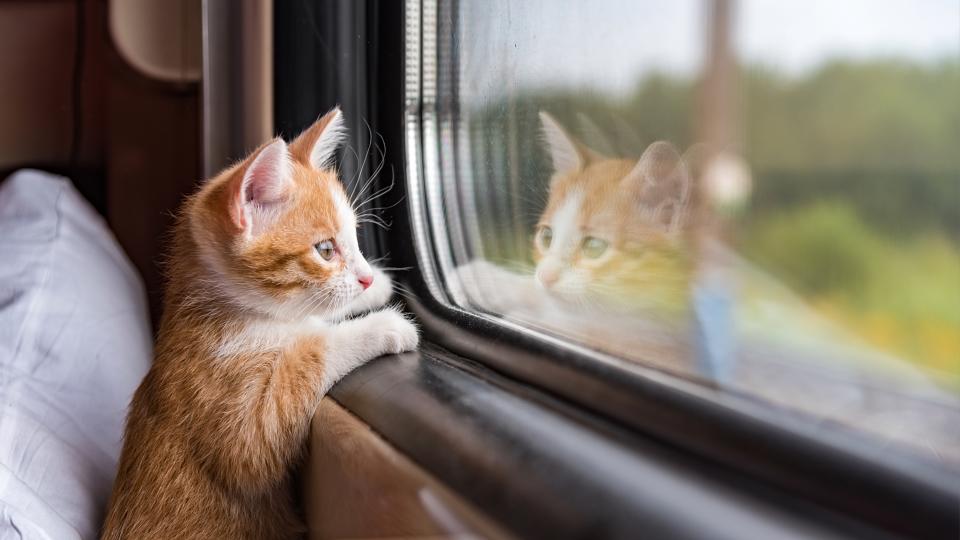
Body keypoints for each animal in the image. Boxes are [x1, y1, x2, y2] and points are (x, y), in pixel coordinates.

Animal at [101, 109, 416, 540]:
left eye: (355, 239)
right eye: (326, 249)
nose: (366, 277)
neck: (235, 310)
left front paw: (376, 288)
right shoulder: (237, 416)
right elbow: (308, 358)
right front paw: (383, 325)